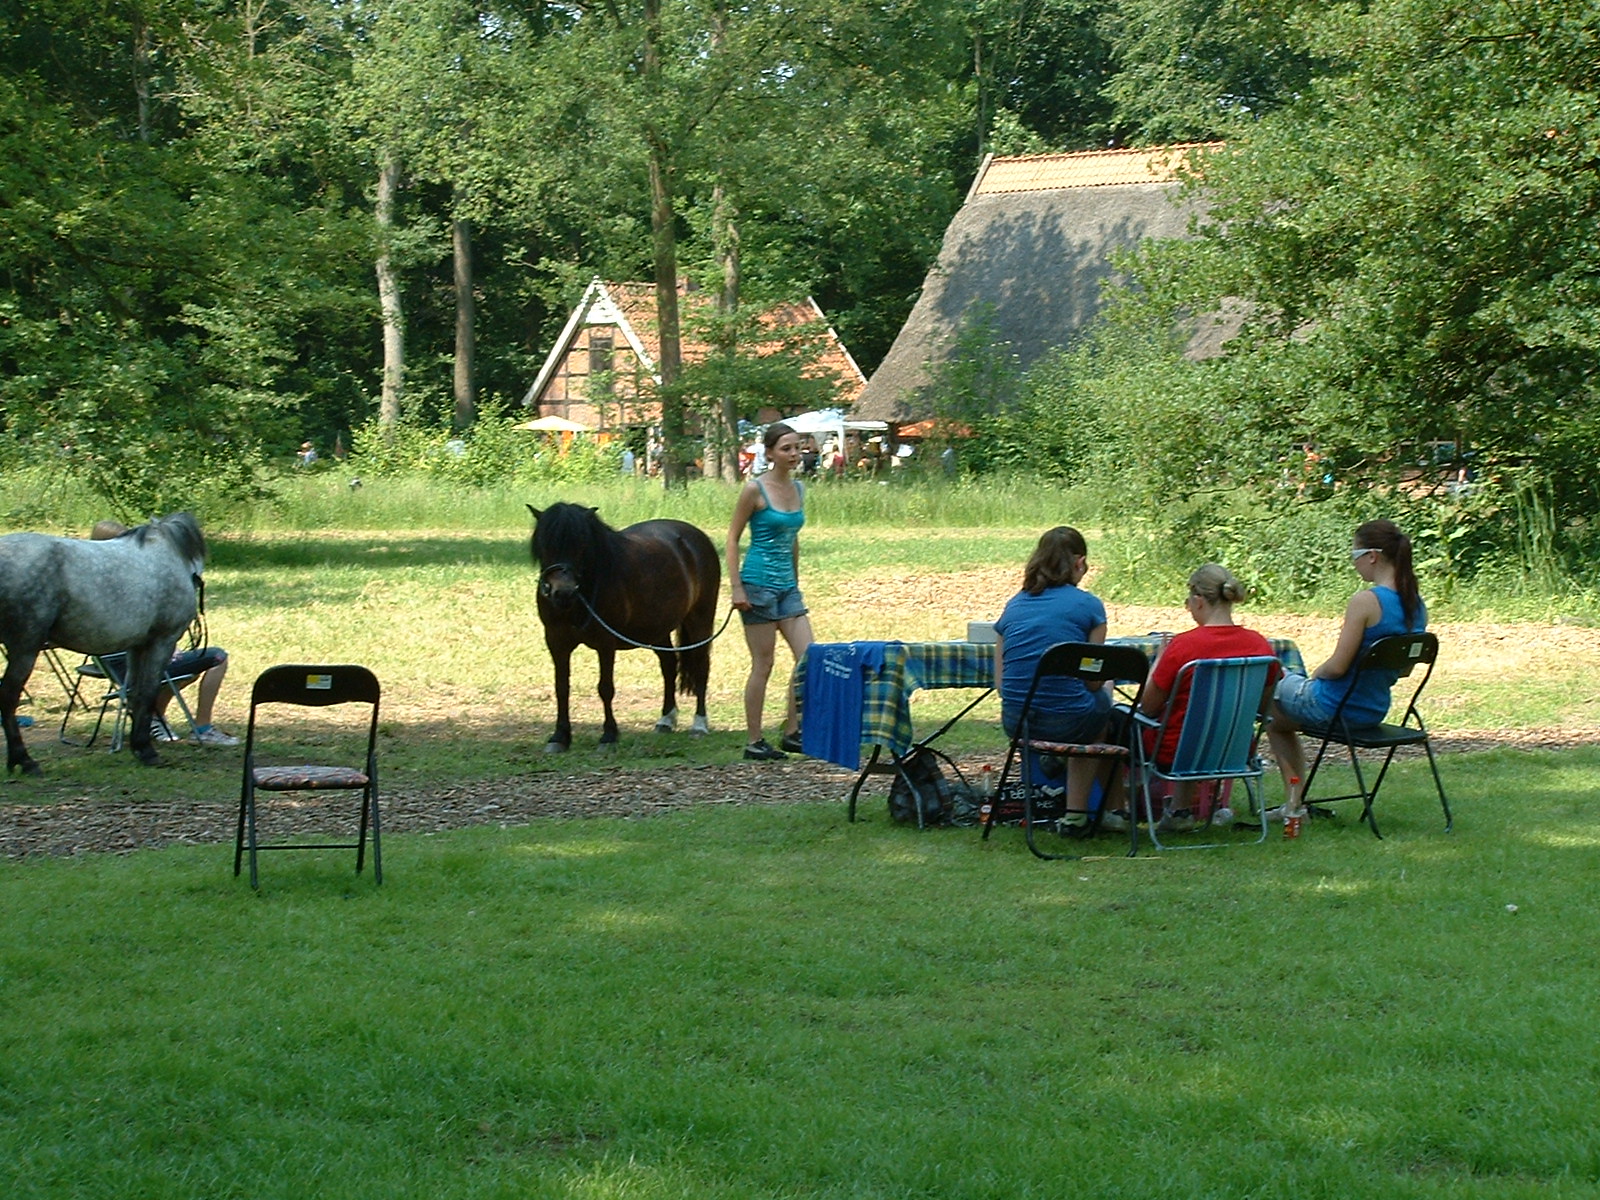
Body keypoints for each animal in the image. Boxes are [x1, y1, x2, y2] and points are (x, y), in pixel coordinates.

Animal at [0, 512, 206, 774]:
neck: (172, 553)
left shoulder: (137, 646)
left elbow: (135, 693)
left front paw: (137, 747)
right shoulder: (162, 642)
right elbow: (148, 692)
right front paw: (146, 751)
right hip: (25, 650)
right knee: (8, 698)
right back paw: (24, 761)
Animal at [531, 499, 720, 752]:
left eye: (582, 544)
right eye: (545, 543)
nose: (563, 592)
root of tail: (696, 537)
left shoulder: (605, 643)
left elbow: (605, 688)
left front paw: (609, 736)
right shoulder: (556, 642)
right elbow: (562, 687)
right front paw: (559, 737)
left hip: (700, 620)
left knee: (701, 666)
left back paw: (699, 725)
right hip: (658, 630)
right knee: (669, 665)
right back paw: (665, 720)